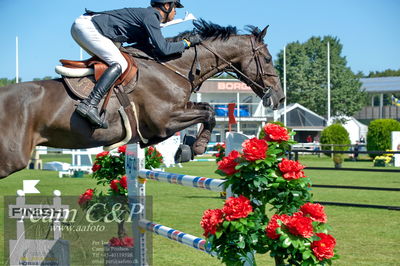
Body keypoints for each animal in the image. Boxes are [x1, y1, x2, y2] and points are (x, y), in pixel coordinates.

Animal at [0, 20, 284, 179]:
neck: (173, 67)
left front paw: (187, 147)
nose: (280, 98)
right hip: (11, 158)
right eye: (268, 59)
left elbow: (205, 109)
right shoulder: (165, 120)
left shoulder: (173, 116)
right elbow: (209, 113)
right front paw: (197, 147)